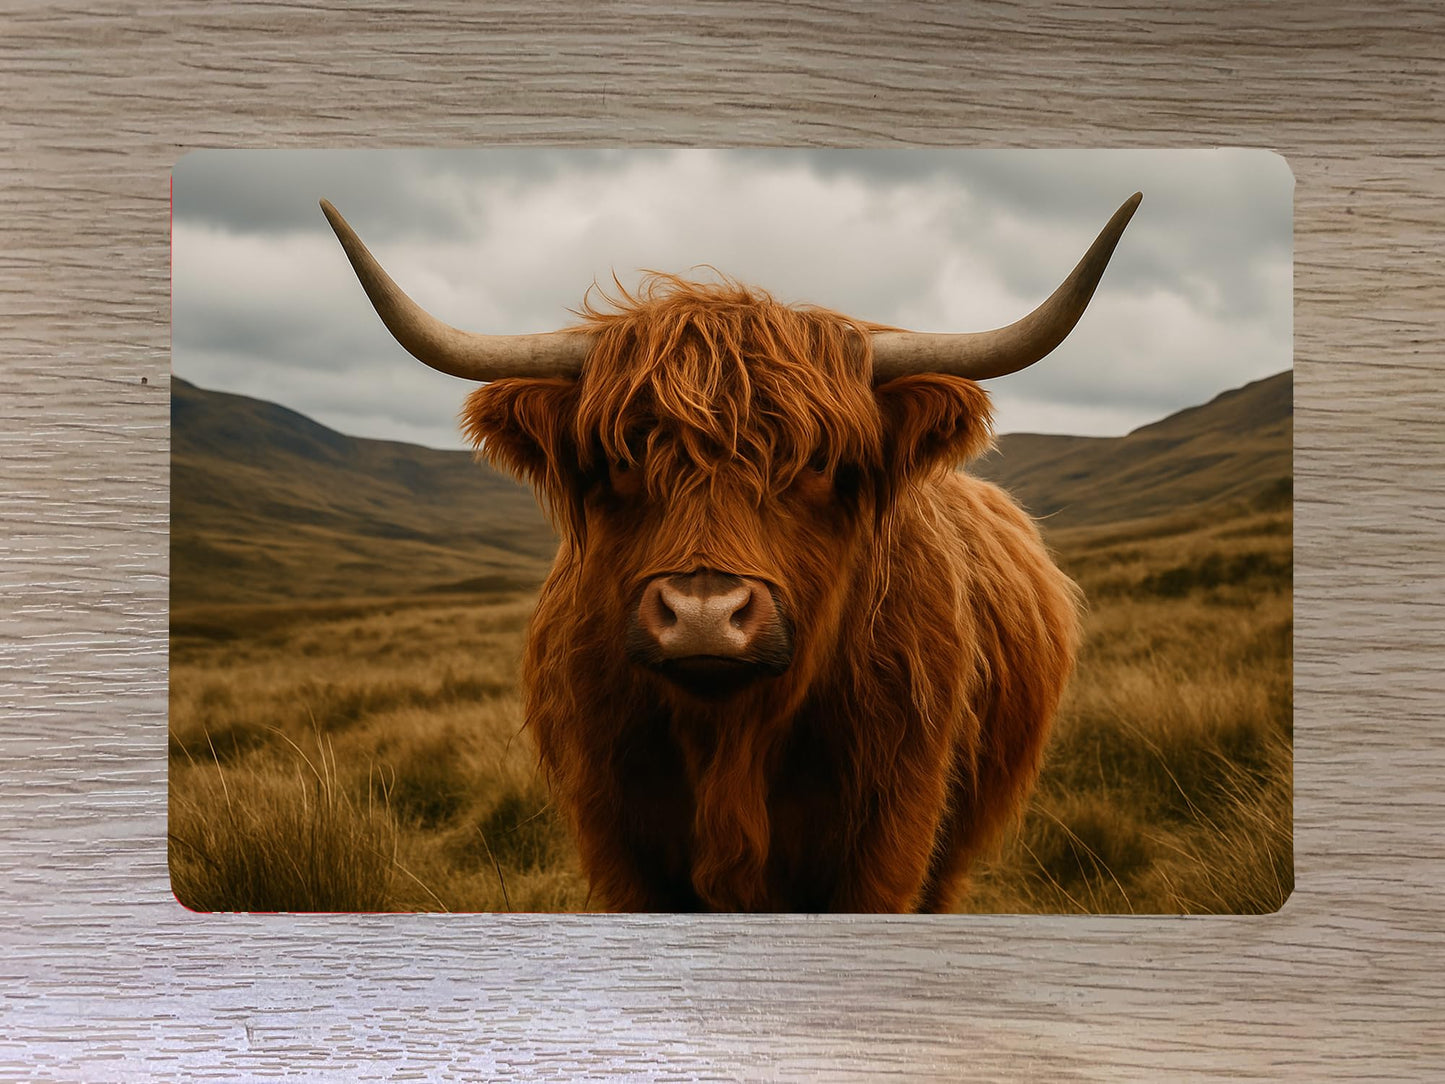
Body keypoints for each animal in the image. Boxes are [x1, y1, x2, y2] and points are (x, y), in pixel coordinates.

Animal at [321, 192, 1141, 912]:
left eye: (818, 462)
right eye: (620, 459)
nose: (703, 615)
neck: (731, 742)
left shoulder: (893, 836)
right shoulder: (620, 842)